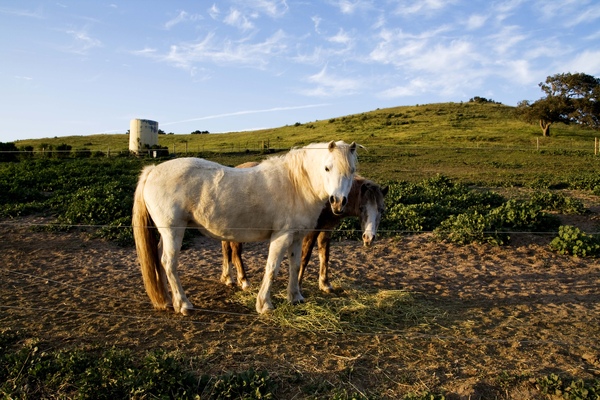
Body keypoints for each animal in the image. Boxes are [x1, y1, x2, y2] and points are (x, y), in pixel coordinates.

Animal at [132, 141, 356, 316]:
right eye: (327, 168)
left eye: (352, 170)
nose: (338, 202)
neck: (296, 184)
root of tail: (152, 171)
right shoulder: (281, 236)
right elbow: (272, 268)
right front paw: (264, 305)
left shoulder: (296, 237)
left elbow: (294, 265)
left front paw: (295, 297)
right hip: (173, 231)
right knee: (168, 263)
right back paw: (183, 304)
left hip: (167, 233)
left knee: (159, 260)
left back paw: (167, 300)